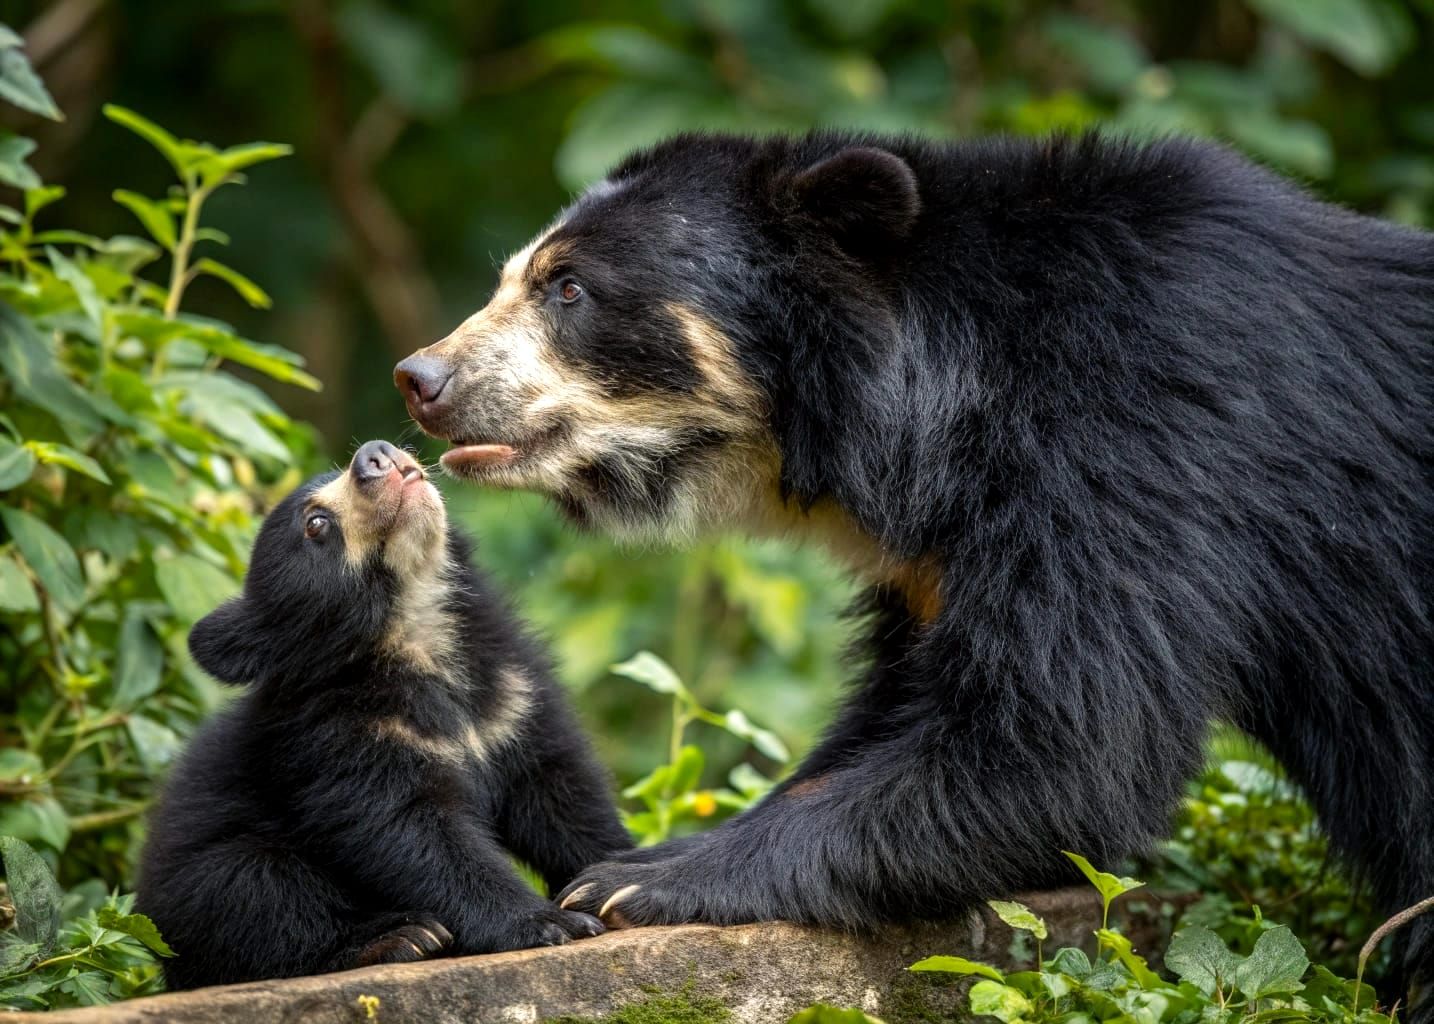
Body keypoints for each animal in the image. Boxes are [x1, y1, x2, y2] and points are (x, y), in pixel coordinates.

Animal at [136, 439, 629, 990]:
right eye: (316, 523)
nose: (377, 454)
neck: (418, 636)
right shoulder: (344, 736)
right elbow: (412, 832)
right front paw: (550, 921)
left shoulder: (513, 701)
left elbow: (561, 793)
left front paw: (618, 879)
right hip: (199, 892)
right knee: (258, 889)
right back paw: (400, 937)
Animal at [393, 132, 1434, 1008]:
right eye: (513, 279)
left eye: (568, 289)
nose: (421, 379)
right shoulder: (938, 553)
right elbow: (910, 712)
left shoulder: (1147, 432)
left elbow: (1067, 738)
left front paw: (638, 879)